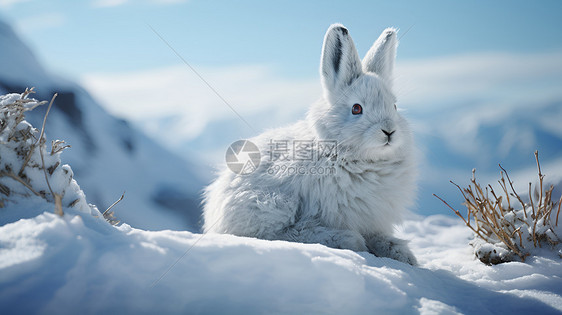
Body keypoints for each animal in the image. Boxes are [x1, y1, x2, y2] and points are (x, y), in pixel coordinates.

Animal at [201, 24, 416, 264]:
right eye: (356, 108)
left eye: (394, 106)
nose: (389, 131)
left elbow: (379, 237)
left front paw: (401, 253)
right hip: (272, 202)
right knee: (277, 233)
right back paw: (344, 239)